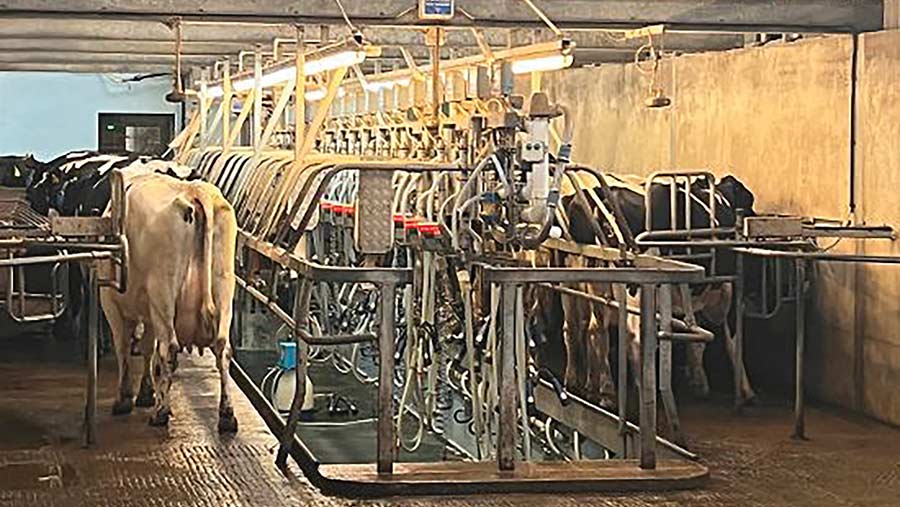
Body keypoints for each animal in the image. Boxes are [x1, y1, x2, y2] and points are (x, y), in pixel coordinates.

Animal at [100, 172, 239, 432]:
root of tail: (194, 191)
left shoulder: (110, 302)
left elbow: (123, 346)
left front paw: (124, 398)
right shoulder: (148, 310)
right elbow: (146, 347)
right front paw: (145, 392)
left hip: (162, 291)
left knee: (169, 348)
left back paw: (161, 413)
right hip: (223, 286)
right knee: (223, 348)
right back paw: (227, 415)